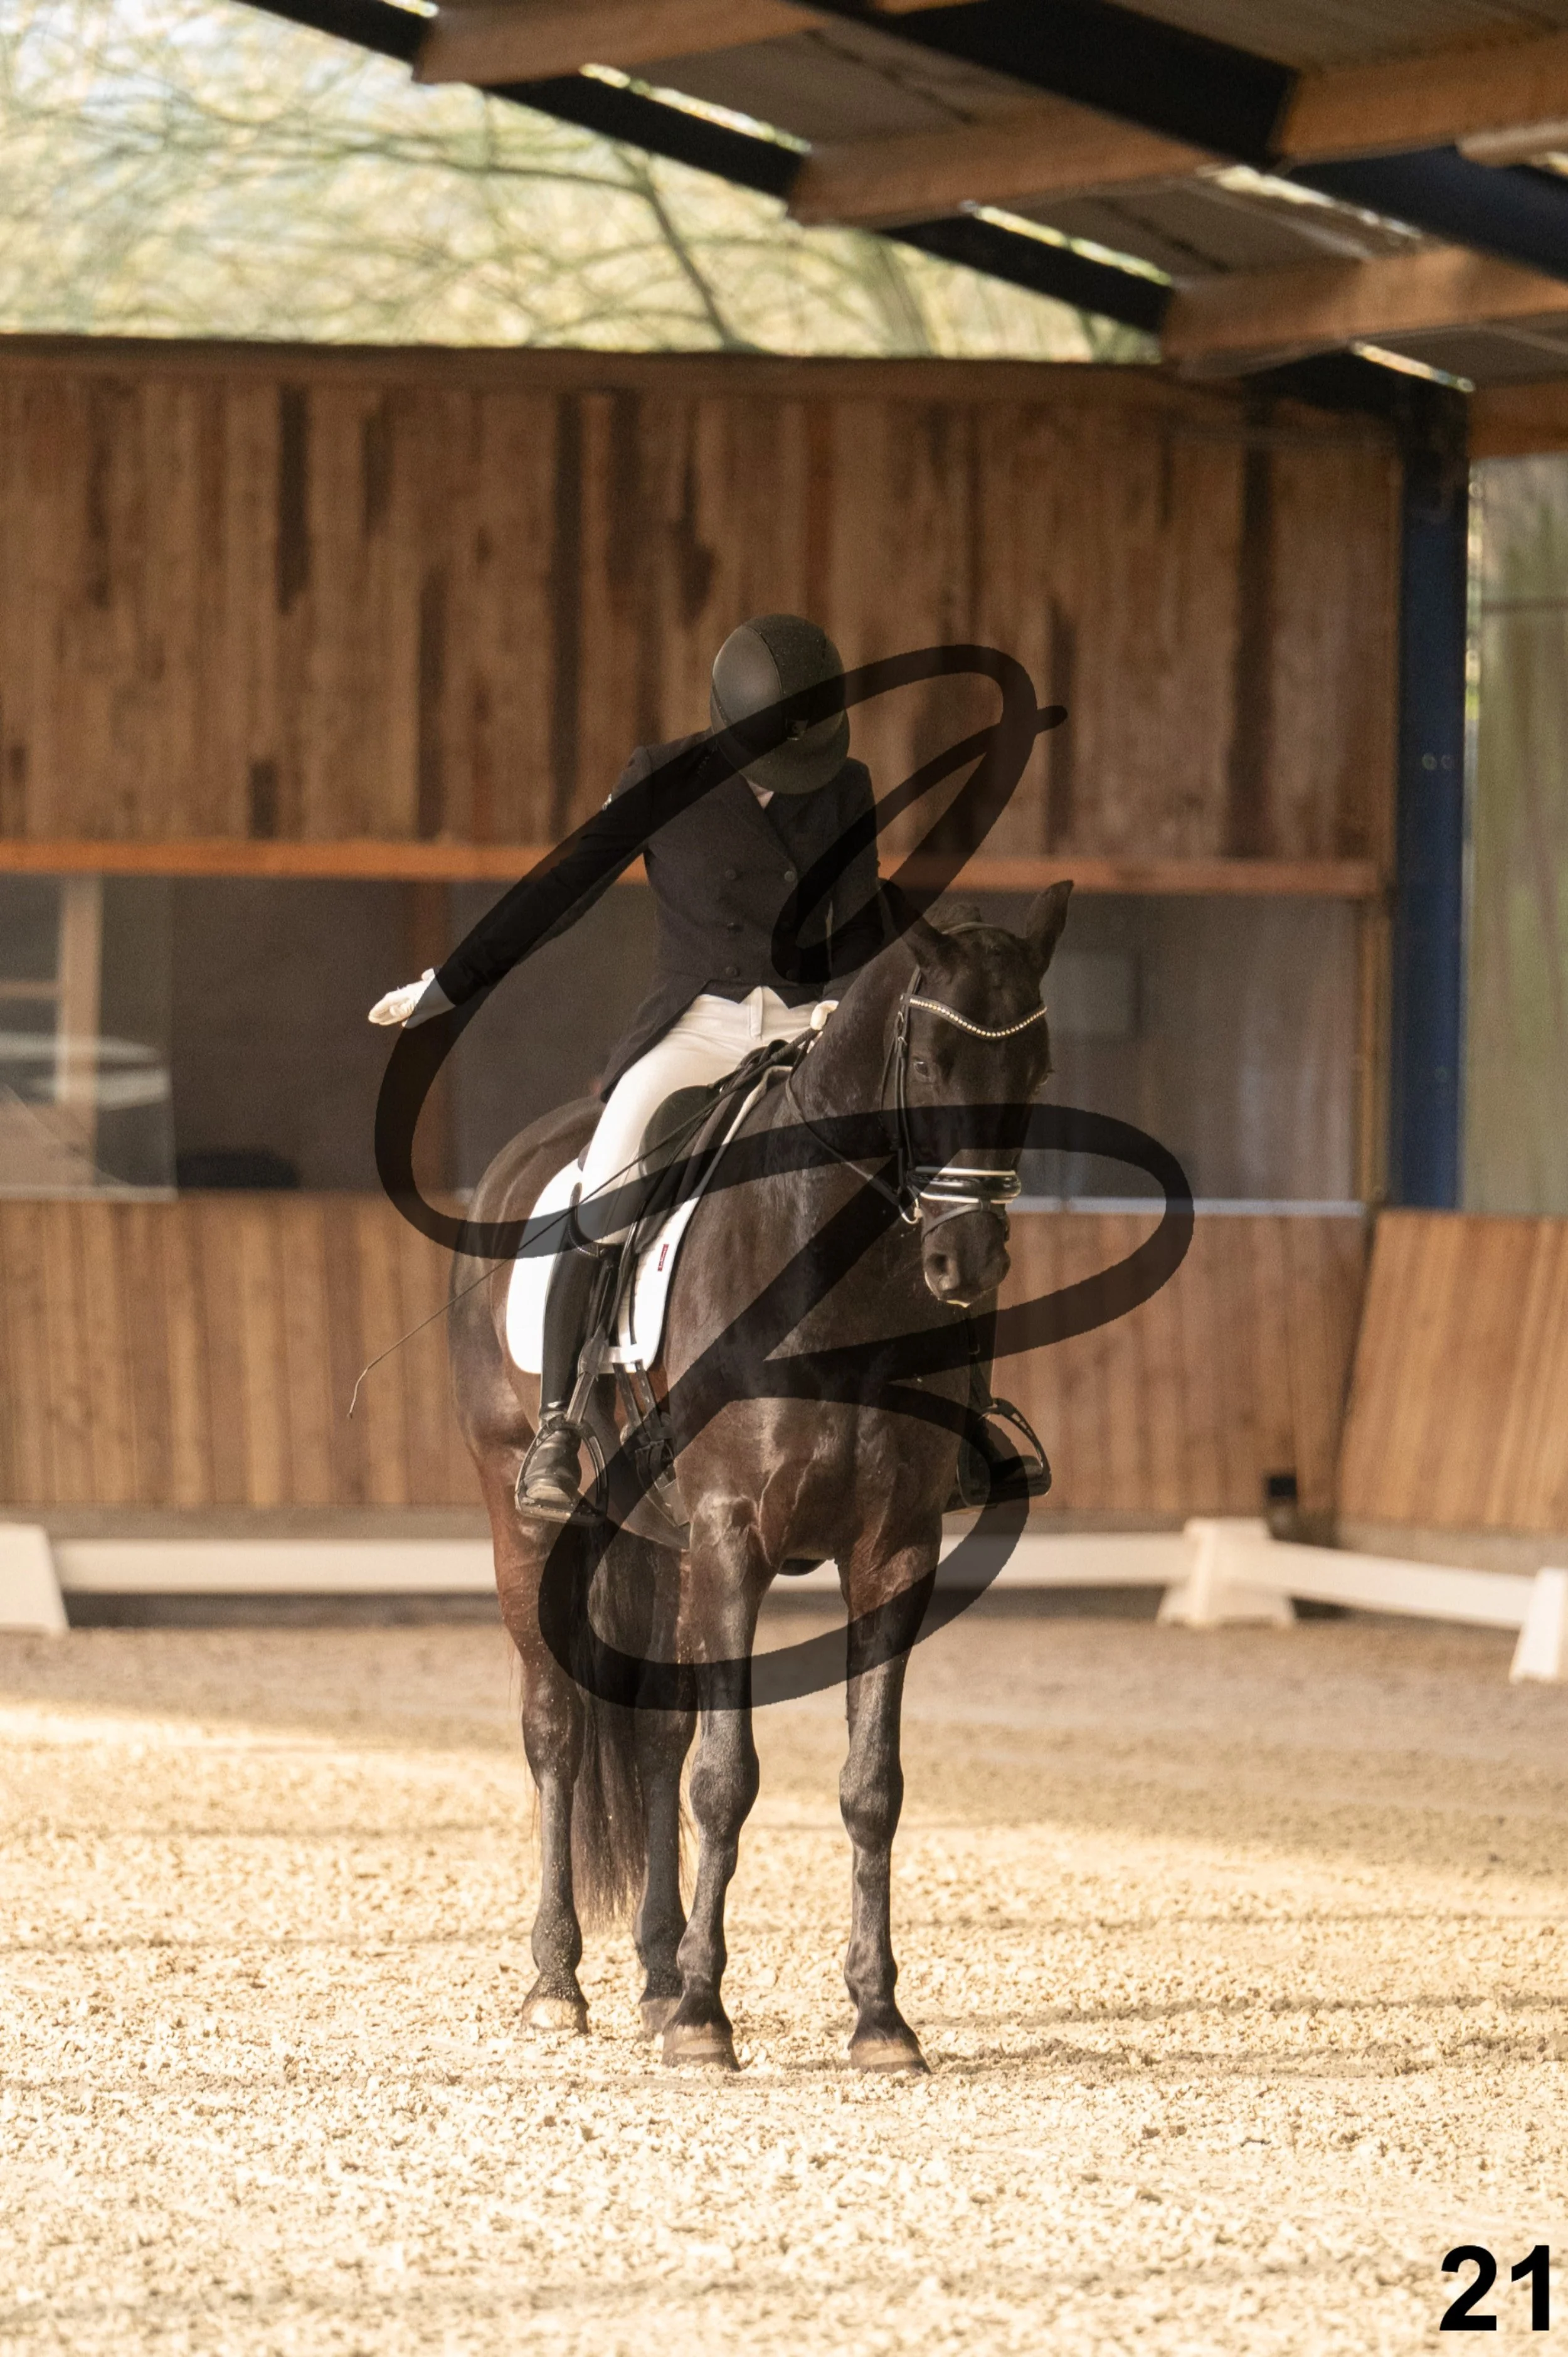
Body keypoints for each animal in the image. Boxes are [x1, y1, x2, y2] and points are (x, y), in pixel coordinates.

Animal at [449, 882, 1072, 2072]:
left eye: (1036, 1070)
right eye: (930, 1067)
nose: (966, 1264)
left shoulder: (894, 1548)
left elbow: (870, 1786)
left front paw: (878, 2018)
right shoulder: (734, 1534)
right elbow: (726, 1778)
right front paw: (706, 2017)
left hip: (658, 1543)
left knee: (652, 1738)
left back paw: (652, 1974)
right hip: (528, 1520)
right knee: (557, 1728)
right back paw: (560, 1982)